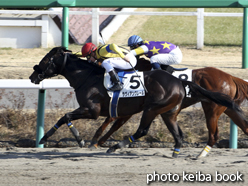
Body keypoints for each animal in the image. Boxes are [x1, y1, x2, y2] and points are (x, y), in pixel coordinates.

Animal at [29, 47, 244, 158]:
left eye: (46, 59)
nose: (32, 76)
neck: (87, 76)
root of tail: (179, 81)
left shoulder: (92, 110)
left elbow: (66, 116)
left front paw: (78, 139)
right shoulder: (115, 112)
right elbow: (66, 118)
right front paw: (49, 138)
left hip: (155, 108)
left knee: (143, 130)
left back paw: (116, 147)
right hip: (169, 112)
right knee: (179, 134)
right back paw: (176, 151)